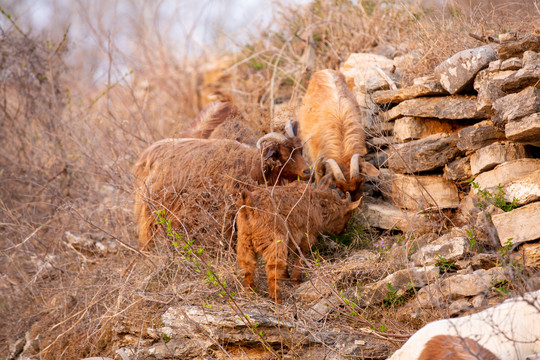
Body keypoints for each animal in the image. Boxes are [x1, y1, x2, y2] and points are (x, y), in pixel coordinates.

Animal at [133, 134, 310, 248]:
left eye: (300, 150)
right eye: (284, 154)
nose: (308, 171)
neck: (250, 165)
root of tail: (145, 157)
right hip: (150, 212)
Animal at [296, 69, 380, 201]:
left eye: (361, 181)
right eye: (338, 187)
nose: (356, 201)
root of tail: (324, 70)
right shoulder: (316, 152)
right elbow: (319, 171)